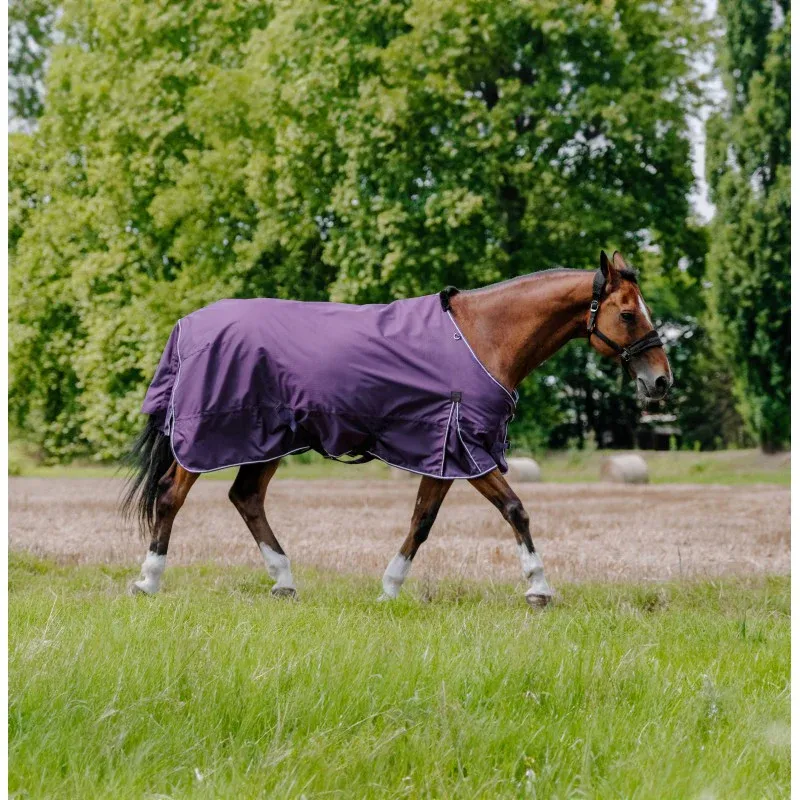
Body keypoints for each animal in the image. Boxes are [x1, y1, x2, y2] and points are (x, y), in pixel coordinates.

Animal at [122, 250, 672, 606]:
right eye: (628, 313)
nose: (661, 381)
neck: (483, 337)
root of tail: (187, 327)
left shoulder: (443, 452)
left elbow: (422, 520)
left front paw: (389, 587)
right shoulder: (467, 449)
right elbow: (515, 510)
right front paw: (538, 587)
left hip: (268, 441)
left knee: (246, 498)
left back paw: (284, 580)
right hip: (208, 439)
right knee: (171, 495)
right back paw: (148, 580)